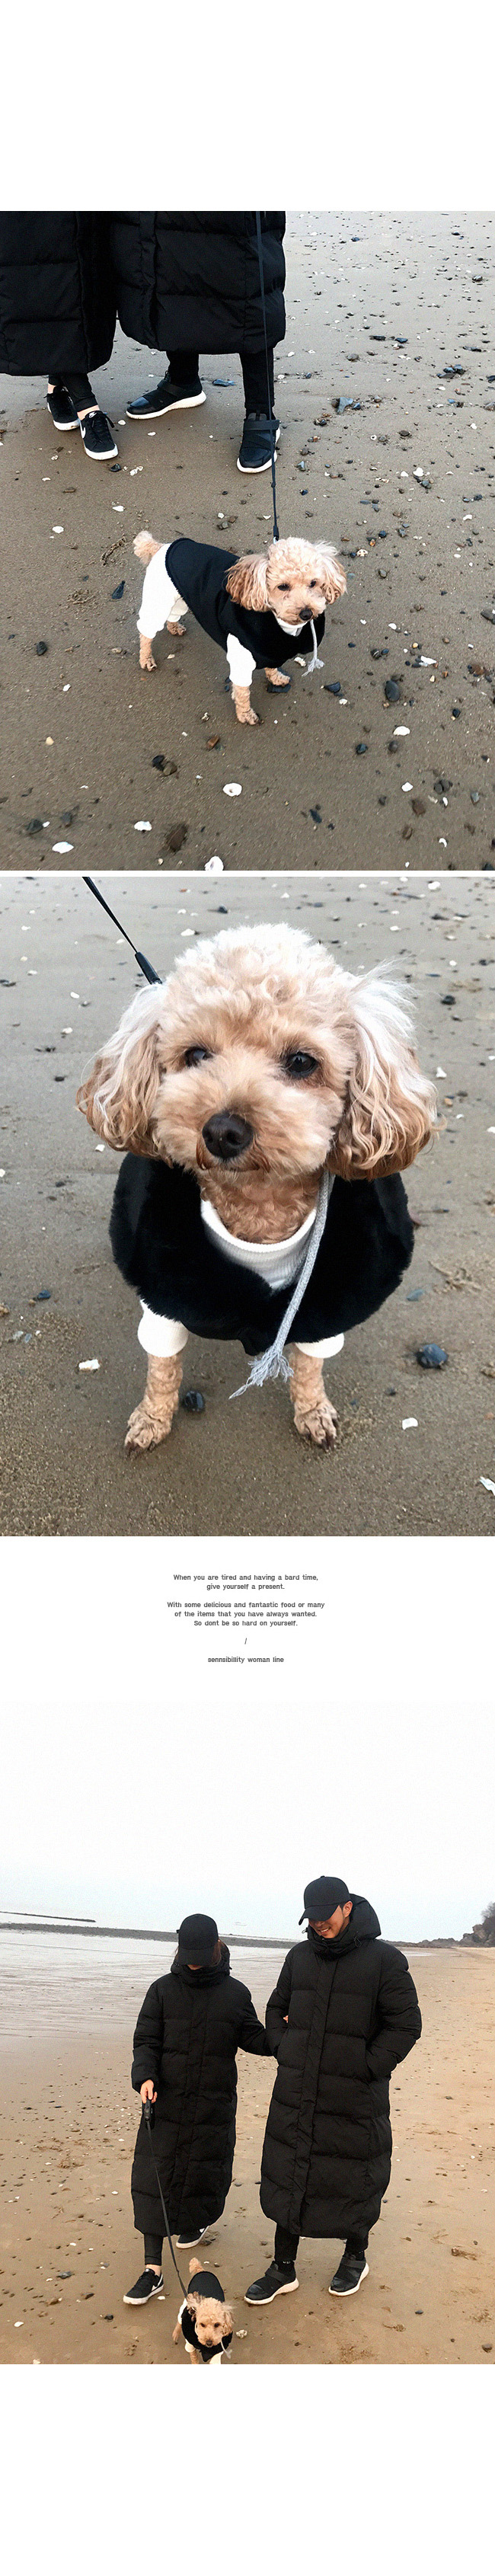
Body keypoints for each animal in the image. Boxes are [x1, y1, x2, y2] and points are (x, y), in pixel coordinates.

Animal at [77, 924, 436, 1455]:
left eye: (303, 1062)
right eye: (196, 1055)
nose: (223, 1131)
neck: (257, 1207)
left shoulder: (320, 1310)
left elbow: (309, 1367)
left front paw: (313, 1412)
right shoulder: (164, 1304)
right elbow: (161, 1369)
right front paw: (151, 1419)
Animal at [134, 530, 347, 722]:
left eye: (314, 583)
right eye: (283, 587)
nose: (307, 613)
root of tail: (162, 547)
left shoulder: (270, 649)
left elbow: (272, 666)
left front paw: (276, 678)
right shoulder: (241, 657)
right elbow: (243, 692)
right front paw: (245, 714)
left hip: (180, 597)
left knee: (173, 614)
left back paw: (174, 628)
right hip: (159, 598)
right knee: (146, 631)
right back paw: (146, 659)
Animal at [172, 2257, 234, 2364]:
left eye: (217, 2325)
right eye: (202, 2325)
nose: (209, 2343)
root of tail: (201, 2271)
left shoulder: (217, 2354)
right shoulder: (190, 2345)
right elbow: (194, 2359)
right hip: (185, 2303)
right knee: (179, 2319)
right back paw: (176, 2334)